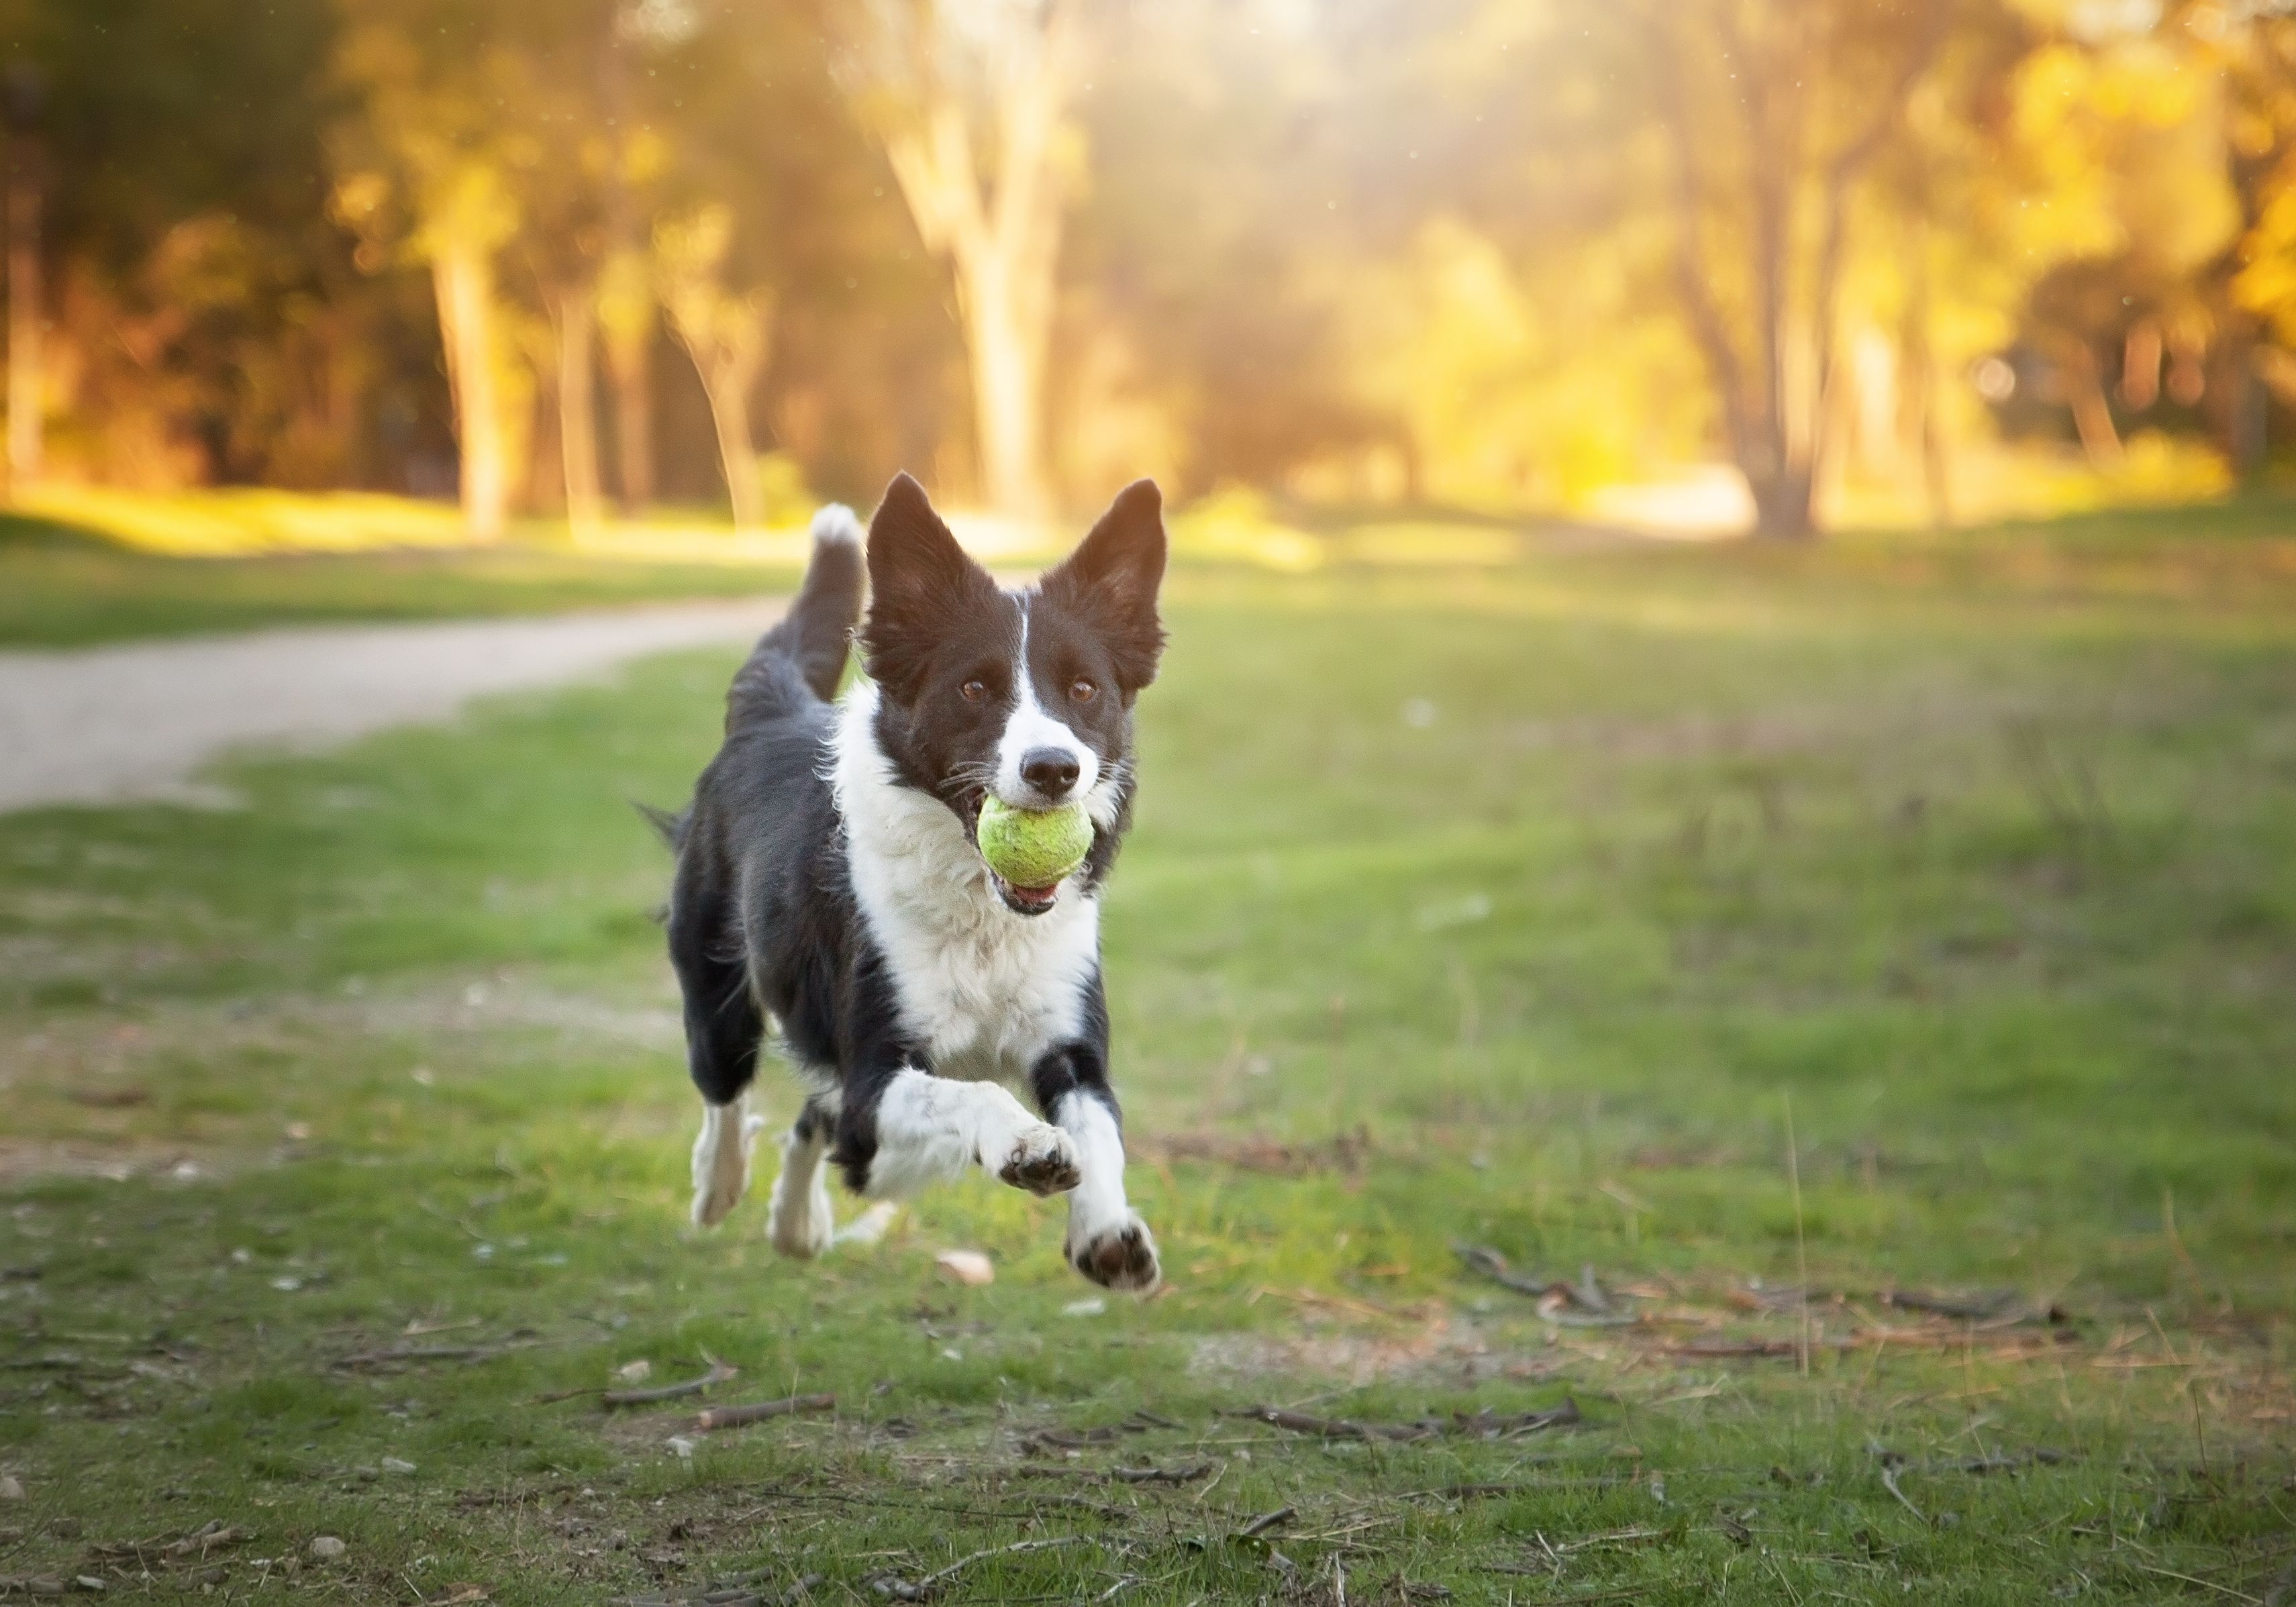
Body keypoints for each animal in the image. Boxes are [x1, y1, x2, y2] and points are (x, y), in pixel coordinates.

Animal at [661, 470, 1166, 1286]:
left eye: (1085, 689)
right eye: (974, 689)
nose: (1053, 768)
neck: (985, 915)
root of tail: (774, 710)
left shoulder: (1068, 1042)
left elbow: (1100, 1128)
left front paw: (1105, 1230)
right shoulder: (875, 1077)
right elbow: (973, 1093)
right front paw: (1025, 1142)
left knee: (817, 1117)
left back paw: (796, 1225)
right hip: (715, 987)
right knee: (729, 1093)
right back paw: (718, 1184)